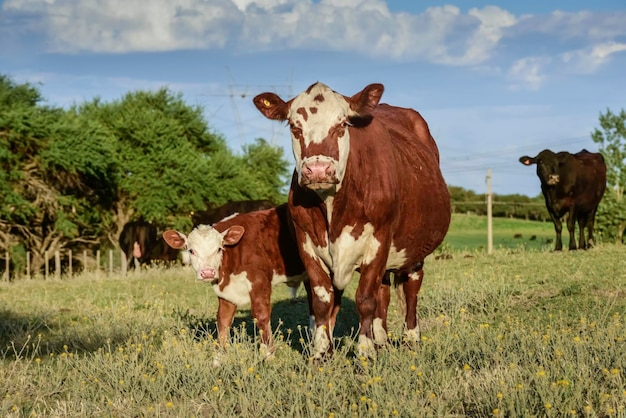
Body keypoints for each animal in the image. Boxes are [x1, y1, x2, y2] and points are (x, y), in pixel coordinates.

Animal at [161, 203, 308, 362]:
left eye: (219, 249)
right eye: (191, 251)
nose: (207, 272)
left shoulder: (260, 281)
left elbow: (261, 315)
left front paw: (268, 355)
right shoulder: (225, 291)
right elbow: (223, 319)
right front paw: (218, 358)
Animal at [252, 81, 448, 360]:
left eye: (342, 124)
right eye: (294, 126)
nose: (318, 170)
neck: (332, 207)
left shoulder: (379, 238)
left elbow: (365, 298)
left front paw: (365, 353)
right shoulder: (307, 242)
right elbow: (323, 300)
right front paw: (321, 353)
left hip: (415, 247)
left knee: (410, 288)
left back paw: (411, 340)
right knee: (383, 291)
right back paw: (382, 341)